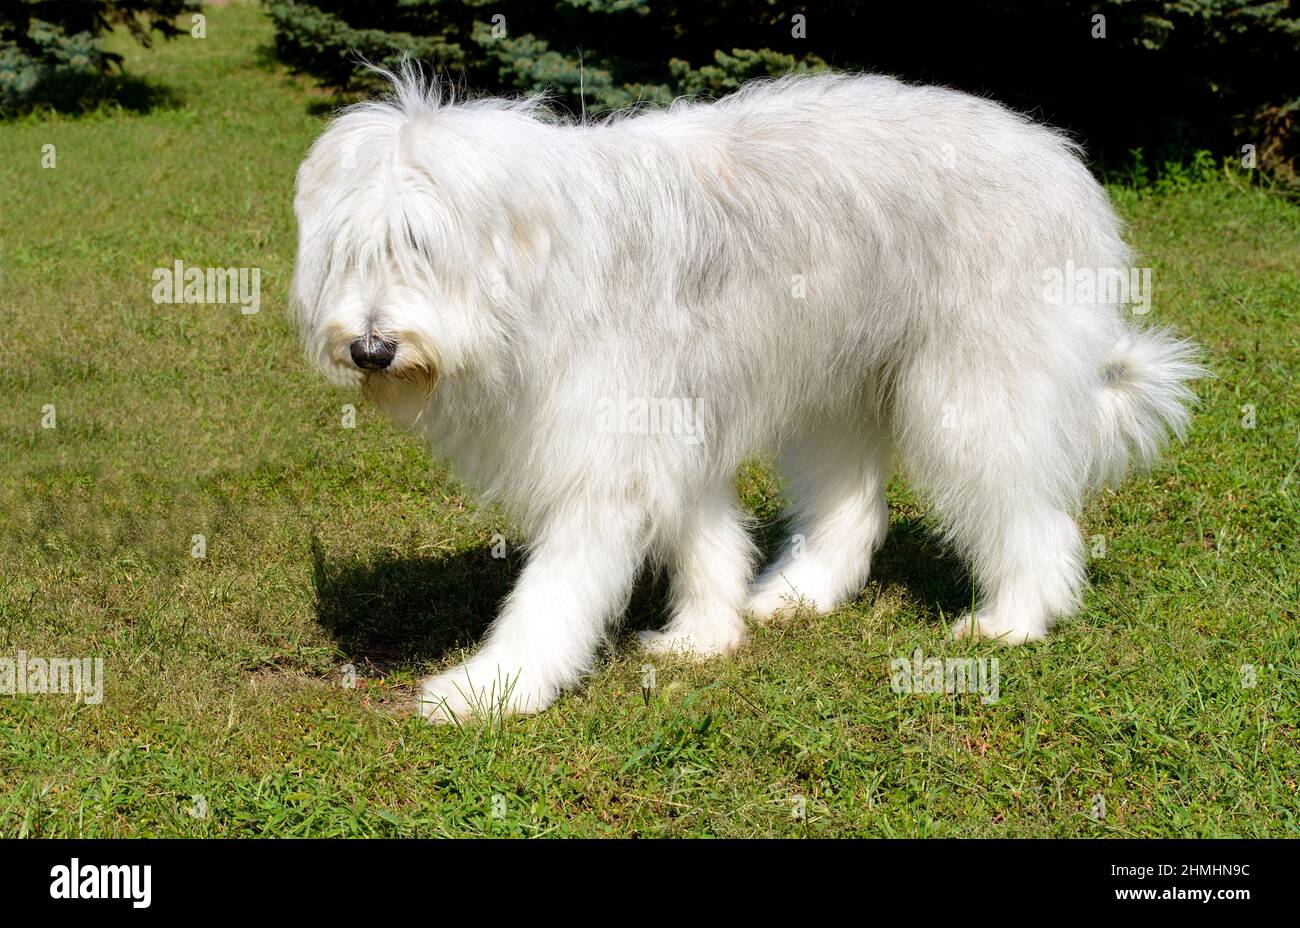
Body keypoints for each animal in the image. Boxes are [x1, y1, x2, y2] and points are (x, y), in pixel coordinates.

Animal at [289, 68, 1201, 717]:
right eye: (346, 251)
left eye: (420, 245)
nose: (370, 348)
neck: (546, 261)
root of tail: (1060, 158)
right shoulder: (670, 424)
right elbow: (705, 537)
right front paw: (706, 636)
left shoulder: (611, 452)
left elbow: (555, 590)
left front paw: (490, 687)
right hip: (839, 387)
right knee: (853, 511)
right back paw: (797, 595)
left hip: (977, 387)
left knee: (1031, 516)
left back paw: (1016, 617)